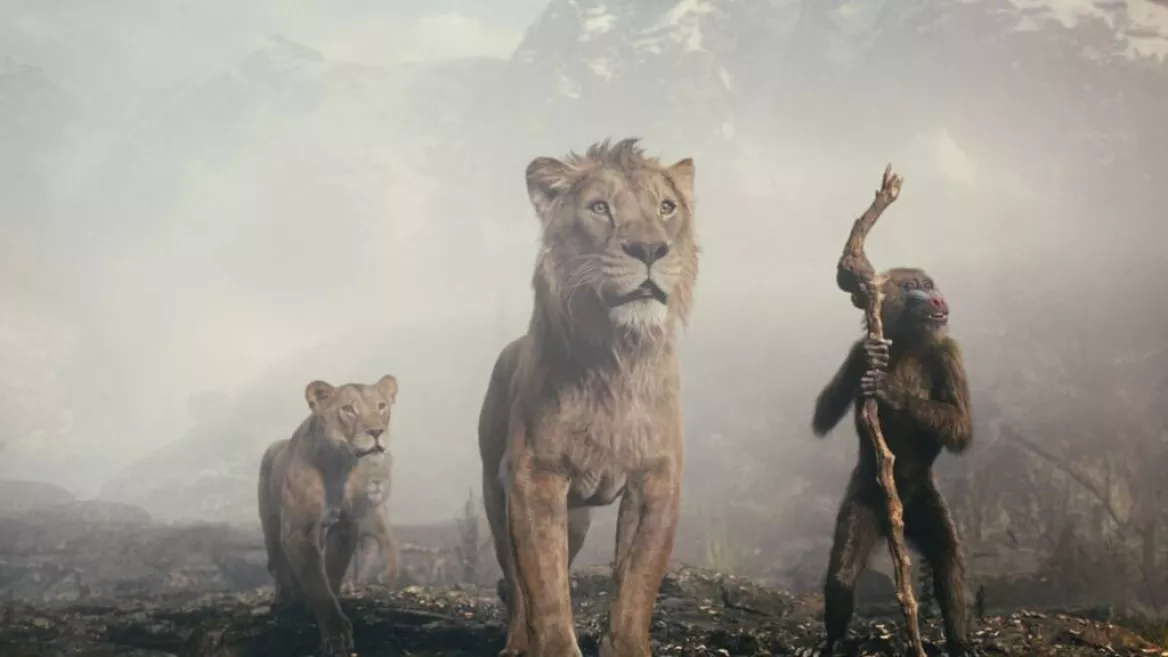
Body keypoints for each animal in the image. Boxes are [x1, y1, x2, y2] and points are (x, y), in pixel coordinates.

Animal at [258, 374, 399, 657]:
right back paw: (284, 603)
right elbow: (316, 583)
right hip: (270, 524)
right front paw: (336, 636)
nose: (376, 432)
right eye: (348, 409)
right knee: (279, 563)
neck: (338, 465)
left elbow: (331, 572)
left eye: (381, 406)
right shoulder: (298, 532)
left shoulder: (346, 526)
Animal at [478, 138, 699, 657]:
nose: (649, 248)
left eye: (667, 207)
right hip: (497, 494)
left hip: (575, 518)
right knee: (516, 583)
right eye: (600, 208)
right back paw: (516, 642)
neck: (618, 358)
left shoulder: (657, 478)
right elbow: (545, 587)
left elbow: (637, 582)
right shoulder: (535, 477)